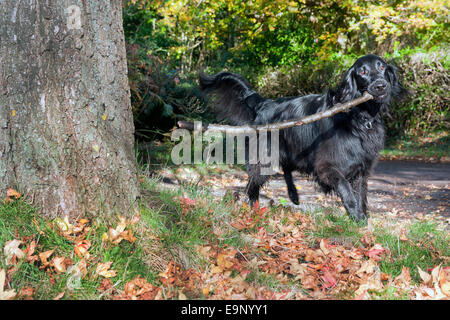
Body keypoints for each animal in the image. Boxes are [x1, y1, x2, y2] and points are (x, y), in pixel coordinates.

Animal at [200, 54, 408, 220]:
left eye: (382, 67)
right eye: (362, 71)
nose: (380, 86)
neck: (358, 116)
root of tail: (264, 104)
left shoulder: (360, 169)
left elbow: (360, 196)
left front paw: (361, 220)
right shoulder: (327, 166)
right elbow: (347, 191)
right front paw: (357, 219)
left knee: (284, 170)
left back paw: (293, 195)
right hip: (264, 160)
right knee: (252, 187)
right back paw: (254, 211)